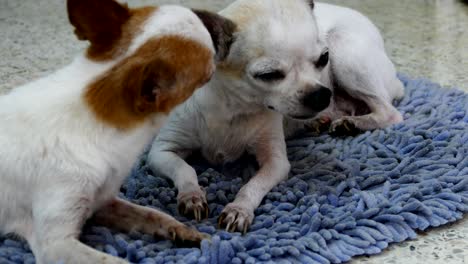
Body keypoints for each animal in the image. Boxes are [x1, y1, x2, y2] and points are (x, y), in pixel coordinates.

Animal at [0, 0, 236, 262]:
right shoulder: (56, 245)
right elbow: (115, 261)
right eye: (208, 38)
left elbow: (152, 214)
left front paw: (184, 231)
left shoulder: (101, 203)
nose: (228, 24)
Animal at [148, 0, 404, 233]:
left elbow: (252, 186)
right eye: (268, 75)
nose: (321, 94)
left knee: (390, 113)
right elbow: (185, 170)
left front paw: (239, 210)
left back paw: (354, 123)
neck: (232, 108)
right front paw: (192, 195)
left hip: (345, 52)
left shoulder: (276, 162)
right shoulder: (161, 152)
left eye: (324, 58)